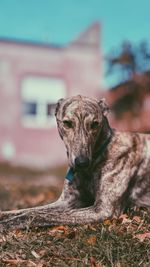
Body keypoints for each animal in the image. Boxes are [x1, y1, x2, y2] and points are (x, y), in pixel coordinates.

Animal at [0, 95, 150, 229]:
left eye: (95, 124)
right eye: (67, 123)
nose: (82, 162)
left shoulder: (103, 209)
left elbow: (35, 215)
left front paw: (5, 225)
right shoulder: (66, 201)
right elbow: (27, 210)